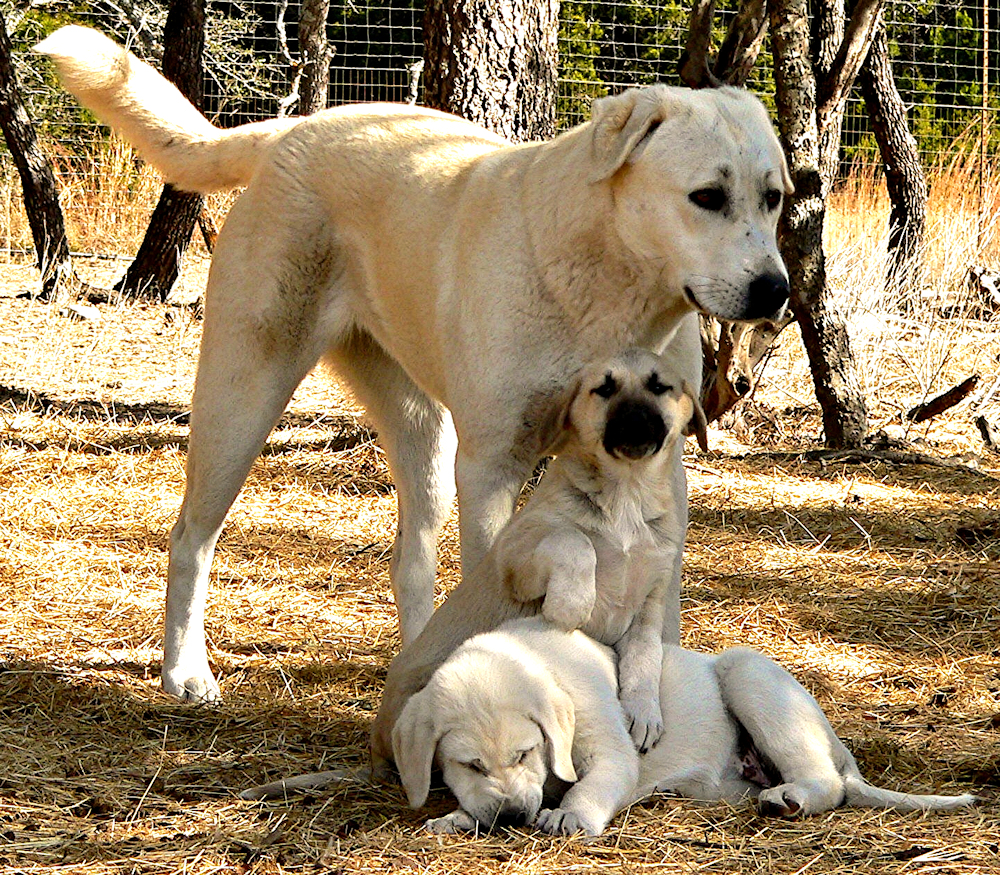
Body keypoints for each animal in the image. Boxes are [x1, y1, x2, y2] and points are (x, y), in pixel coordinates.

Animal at [37, 25, 788, 704]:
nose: (776, 291)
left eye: (775, 196)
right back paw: (185, 671)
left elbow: (659, 607)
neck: (608, 281)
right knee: (191, 536)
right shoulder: (492, 468)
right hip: (244, 399)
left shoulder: (663, 470)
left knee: (410, 561)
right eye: (707, 197)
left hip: (423, 437)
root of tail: (293, 132)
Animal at [390, 616, 976, 836]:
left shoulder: (610, 749)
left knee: (828, 784)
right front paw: (456, 819)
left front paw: (570, 816)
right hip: (727, 783)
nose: (511, 818)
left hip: (749, 674)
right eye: (469, 764)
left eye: (525, 753)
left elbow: (592, 783)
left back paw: (790, 799)